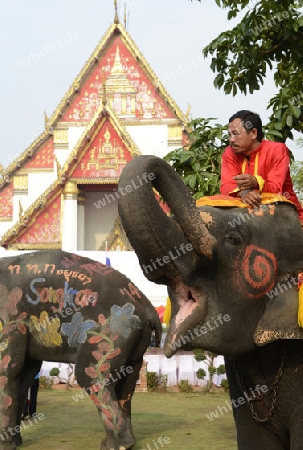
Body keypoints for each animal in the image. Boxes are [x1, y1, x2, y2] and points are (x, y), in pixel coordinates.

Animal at [0, 250, 162, 450]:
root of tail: (149, 309)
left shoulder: (10, 316)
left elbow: (8, 370)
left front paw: (5, 445)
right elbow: (24, 374)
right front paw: (15, 443)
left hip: (114, 331)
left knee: (90, 375)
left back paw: (116, 446)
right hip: (134, 343)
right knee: (127, 384)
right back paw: (123, 443)